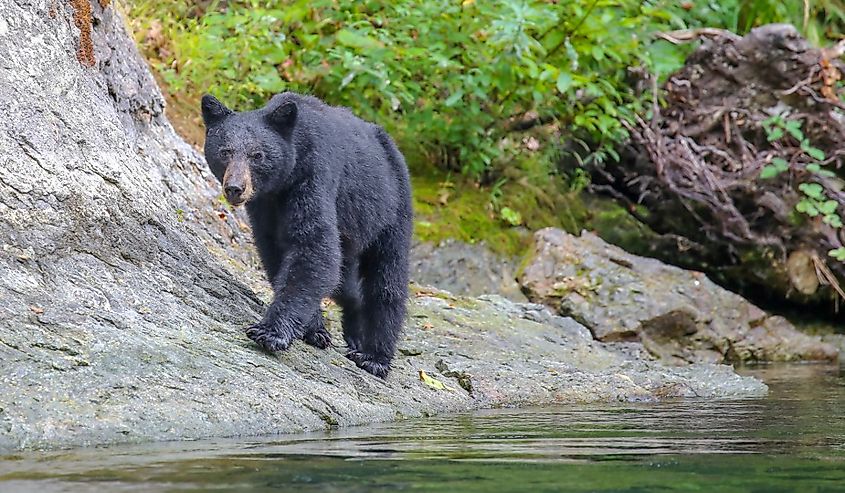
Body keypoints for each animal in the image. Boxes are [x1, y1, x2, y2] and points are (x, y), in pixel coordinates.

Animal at [200, 91, 412, 379]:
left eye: (257, 155)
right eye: (225, 152)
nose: (235, 188)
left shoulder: (314, 178)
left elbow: (313, 247)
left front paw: (270, 332)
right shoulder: (264, 206)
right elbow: (277, 254)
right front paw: (315, 330)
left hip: (391, 209)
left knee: (388, 279)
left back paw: (374, 357)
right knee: (346, 285)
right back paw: (355, 333)